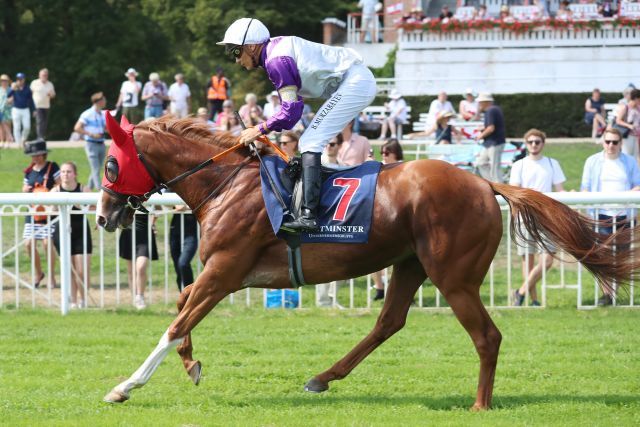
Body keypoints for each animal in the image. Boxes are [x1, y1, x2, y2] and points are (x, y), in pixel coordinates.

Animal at [97, 115, 636, 410]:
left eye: (109, 163)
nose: (102, 216)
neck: (226, 184)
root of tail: (485, 182)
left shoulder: (225, 270)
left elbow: (175, 322)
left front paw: (125, 385)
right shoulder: (220, 273)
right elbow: (183, 308)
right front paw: (192, 364)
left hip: (453, 275)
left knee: (487, 336)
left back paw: (480, 404)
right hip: (410, 263)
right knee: (388, 321)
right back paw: (322, 377)